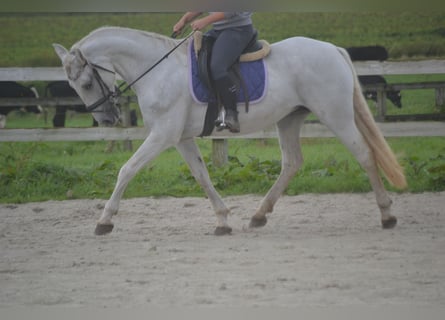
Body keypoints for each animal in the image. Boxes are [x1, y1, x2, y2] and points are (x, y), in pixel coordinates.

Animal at [53, 26, 406, 235]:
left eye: (86, 83)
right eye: (75, 85)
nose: (106, 119)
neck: (158, 70)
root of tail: (333, 49)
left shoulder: (163, 135)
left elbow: (126, 170)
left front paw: (104, 220)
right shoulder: (180, 138)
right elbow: (201, 175)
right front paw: (222, 219)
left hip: (336, 115)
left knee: (364, 154)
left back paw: (387, 215)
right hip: (289, 118)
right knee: (292, 163)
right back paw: (259, 215)